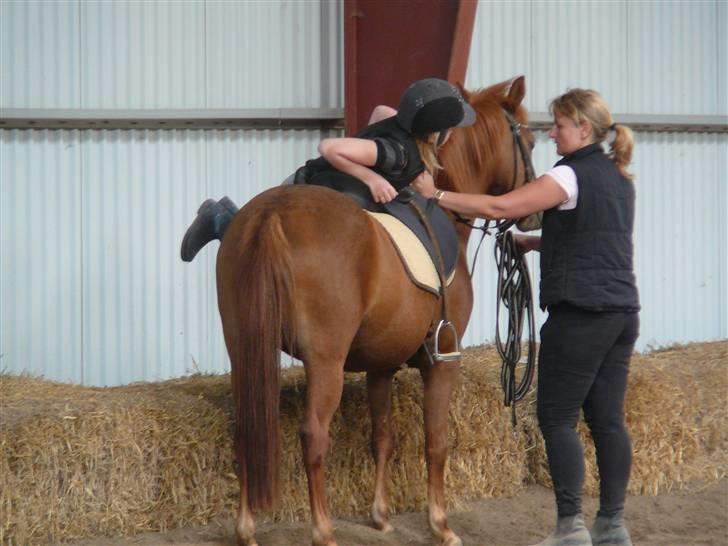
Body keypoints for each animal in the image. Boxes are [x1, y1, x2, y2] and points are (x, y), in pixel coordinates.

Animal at [213, 76, 532, 544]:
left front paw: (380, 515)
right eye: (529, 137)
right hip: (325, 361)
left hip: (244, 349)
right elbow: (436, 441)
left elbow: (382, 436)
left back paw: (246, 528)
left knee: (247, 428)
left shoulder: (382, 364)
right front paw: (441, 525)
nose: (532, 215)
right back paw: (323, 531)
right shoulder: (443, 360)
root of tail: (272, 215)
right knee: (313, 435)